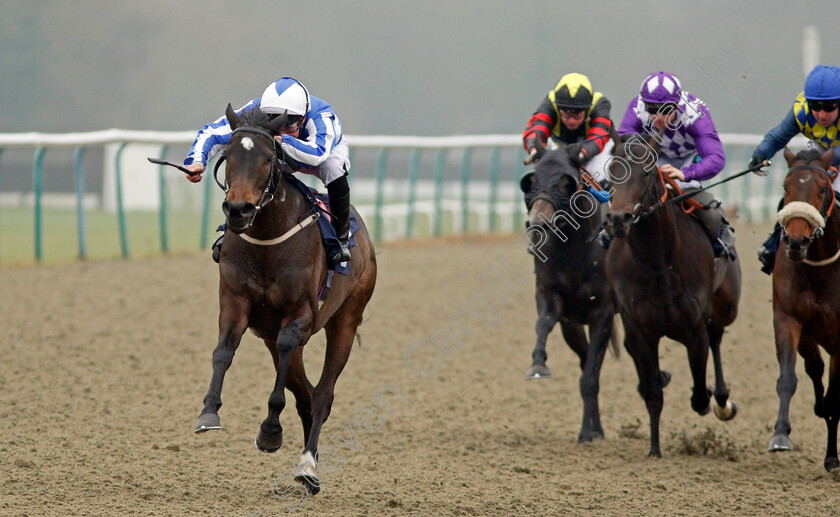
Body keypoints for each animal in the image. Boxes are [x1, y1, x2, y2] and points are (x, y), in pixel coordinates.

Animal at [194, 104, 378, 492]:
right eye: (228, 154)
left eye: (268, 158)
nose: (239, 210)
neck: (267, 240)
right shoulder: (234, 304)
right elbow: (223, 352)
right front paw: (208, 411)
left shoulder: (299, 318)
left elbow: (285, 376)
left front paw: (270, 431)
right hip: (268, 335)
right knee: (305, 393)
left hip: (345, 320)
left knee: (322, 395)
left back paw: (308, 465)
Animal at [520, 145, 616, 444]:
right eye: (531, 181)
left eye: (566, 183)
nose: (538, 224)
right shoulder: (557, 304)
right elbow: (543, 324)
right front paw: (538, 365)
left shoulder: (603, 312)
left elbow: (590, 376)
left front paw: (586, 433)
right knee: (587, 361)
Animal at [604, 133, 740, 456]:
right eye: (612, 171)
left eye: (647, 171)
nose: (618, 219)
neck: (658, 264)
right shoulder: (638, 328)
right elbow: (653, 392)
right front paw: (654, 449)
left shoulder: (693, 327)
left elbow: (700, 392)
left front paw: (709, 397)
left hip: (727, 305)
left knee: (716, 335)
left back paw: (723, 400)